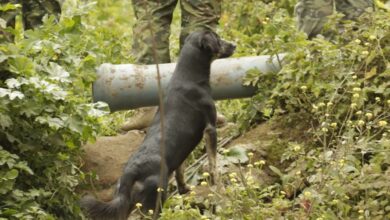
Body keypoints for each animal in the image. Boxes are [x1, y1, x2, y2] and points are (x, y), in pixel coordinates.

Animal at [80, 31, 236, 220]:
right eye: (218, 39)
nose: (234, 45)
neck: (188, 78)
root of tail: (130, 173)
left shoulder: (181, 153)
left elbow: (180, 171)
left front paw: (184, 189)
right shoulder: (210, 129)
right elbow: (213, 166)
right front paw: (218, 187)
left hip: (126, 205)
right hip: (154, 201)